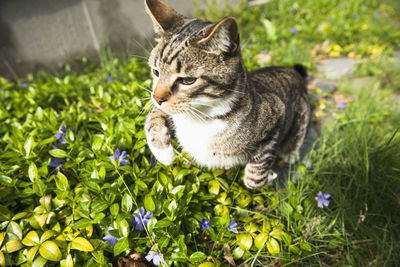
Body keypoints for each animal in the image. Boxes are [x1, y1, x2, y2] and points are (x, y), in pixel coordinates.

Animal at [144, 0, 312, 189]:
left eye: (187, 81)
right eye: (156, 72)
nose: (157, 98)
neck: (203, 117)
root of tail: (294, 72)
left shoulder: (277, 111)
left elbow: (255, 174)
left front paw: (265, 176)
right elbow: (153, 118)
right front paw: (164, 154)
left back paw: (290, 153)